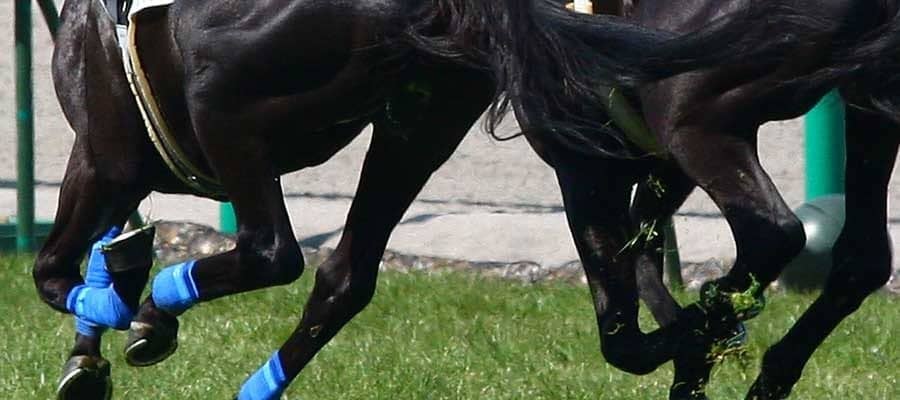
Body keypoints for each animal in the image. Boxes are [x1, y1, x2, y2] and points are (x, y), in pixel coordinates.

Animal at [37, 0, 833, 398]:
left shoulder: (105, 153)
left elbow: (54, 272)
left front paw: (119, 324)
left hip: (224, 102)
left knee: (276, 251)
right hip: (423, 121)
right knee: (345, 276)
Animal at [534, 0, 900, 398]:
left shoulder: (586, 162)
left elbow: (624, 334)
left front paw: (700, 336)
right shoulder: (660, 160)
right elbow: (643, 246)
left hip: (695, 117)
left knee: (774, 236)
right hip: (863, 97)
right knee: (862, 259)